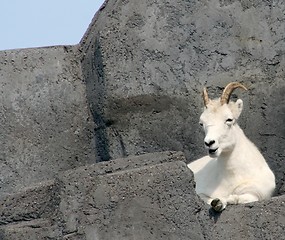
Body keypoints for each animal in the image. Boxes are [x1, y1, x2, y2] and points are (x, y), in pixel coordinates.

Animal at [187, 82, 274, 212]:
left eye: (229, 119)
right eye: (201, 123)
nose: (209, 143)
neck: (231, 177)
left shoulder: (257, 193)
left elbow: (241, 198)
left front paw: (223, 201)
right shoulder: (200, 192)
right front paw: (217, 202)